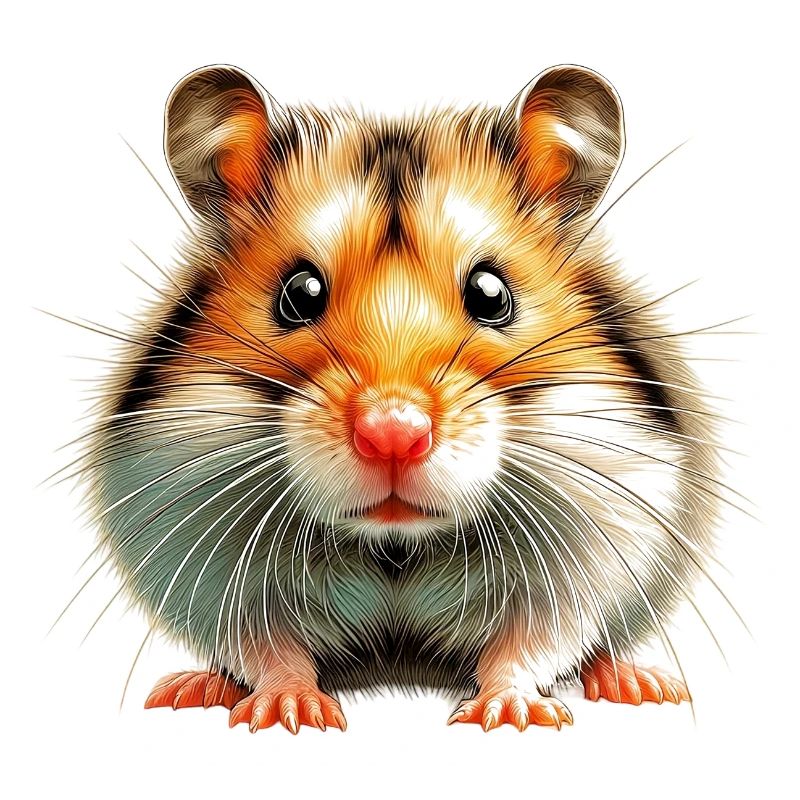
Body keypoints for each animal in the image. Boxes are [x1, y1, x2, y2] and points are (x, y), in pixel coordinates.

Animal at [80, 63, 718, 733]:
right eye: (298, 294)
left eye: (492, 293)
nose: (393, 435)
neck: (397, 544)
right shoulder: (203, 544)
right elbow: (268, 644)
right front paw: (289, 713)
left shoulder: (594, 534)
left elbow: (530, 640)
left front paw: (510, 715)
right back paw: (191, 687)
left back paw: (643, 684)